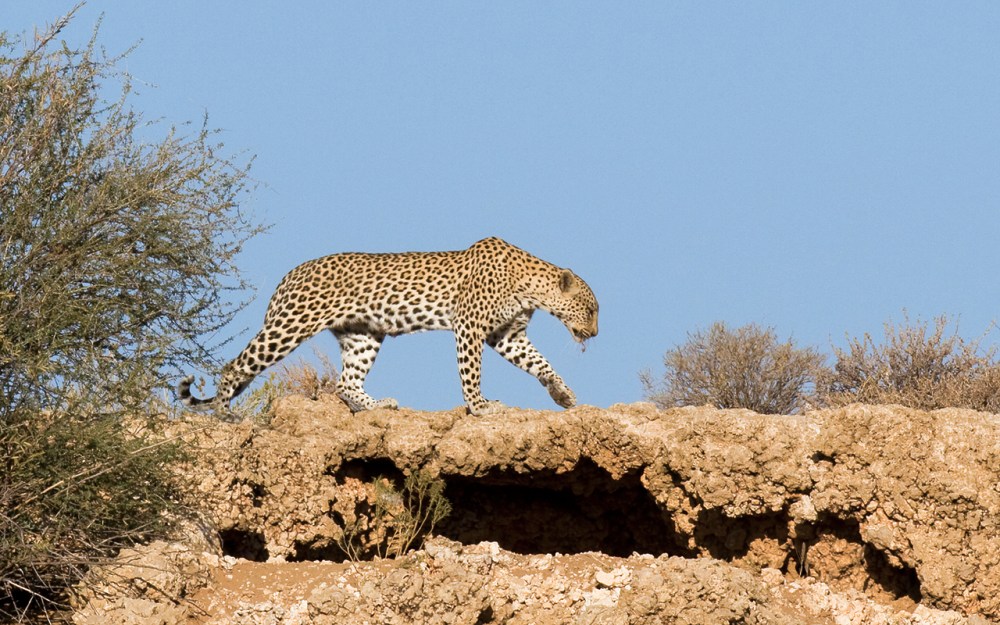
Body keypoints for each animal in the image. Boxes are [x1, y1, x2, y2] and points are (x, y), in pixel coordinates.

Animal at [178, 237, 598, 416]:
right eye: (591, 309)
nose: (595, 334)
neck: (530, 288)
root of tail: (291, 273)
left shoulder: (506, 335)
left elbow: (539, 362)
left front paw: (562, 394)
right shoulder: (470, 327)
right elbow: (471, 372)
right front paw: (480, 407)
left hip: (363, 334)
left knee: (345, 383)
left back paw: (378, 404)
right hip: (290, 326)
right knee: (234, 366)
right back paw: (224, 413)